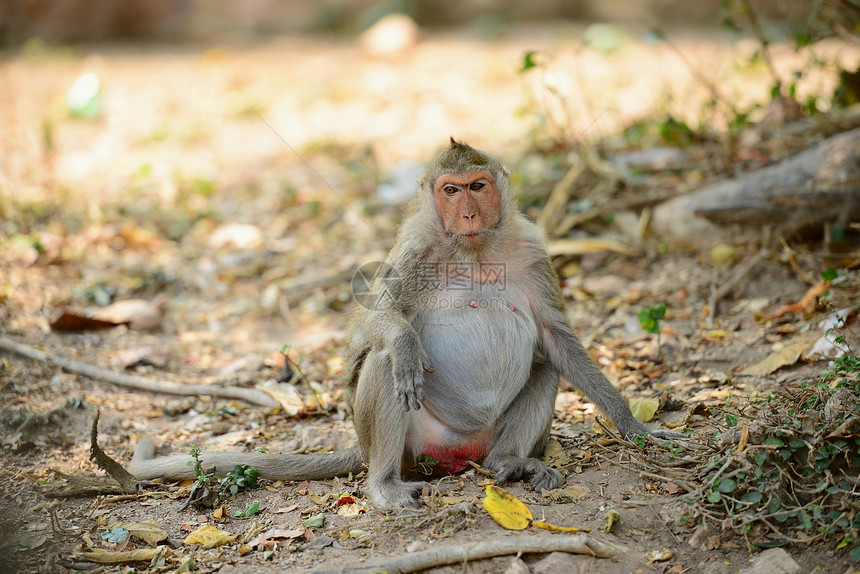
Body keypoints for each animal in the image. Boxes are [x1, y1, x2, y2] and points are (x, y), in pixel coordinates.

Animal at [127, 141, 680, 512]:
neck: (474, 251)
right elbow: (372, 327)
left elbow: (558, 341)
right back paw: (385, 484)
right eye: (450, 190)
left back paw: (509, 463)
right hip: (412, 445)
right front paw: (402, 341)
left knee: (543, 371)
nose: (469, 213)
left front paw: (632, 425)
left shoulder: (532, 248)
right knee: (385, 366)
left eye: (478, 187)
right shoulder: (416, 249)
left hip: (481, 442)